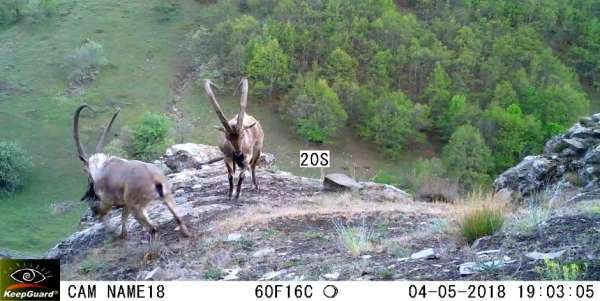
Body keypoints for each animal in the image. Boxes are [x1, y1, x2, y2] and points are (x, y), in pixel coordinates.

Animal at [73, 105, 190, 239]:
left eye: (85, 171)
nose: (87, 194)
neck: (102, 168)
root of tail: (155, 180)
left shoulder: (108, 201)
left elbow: (101, 213)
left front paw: (113, 232)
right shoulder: (125, 204)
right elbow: (123, 218)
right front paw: (121, 234)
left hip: (137, 208)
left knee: (153, 228)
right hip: (167, 198)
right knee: (178, 219)